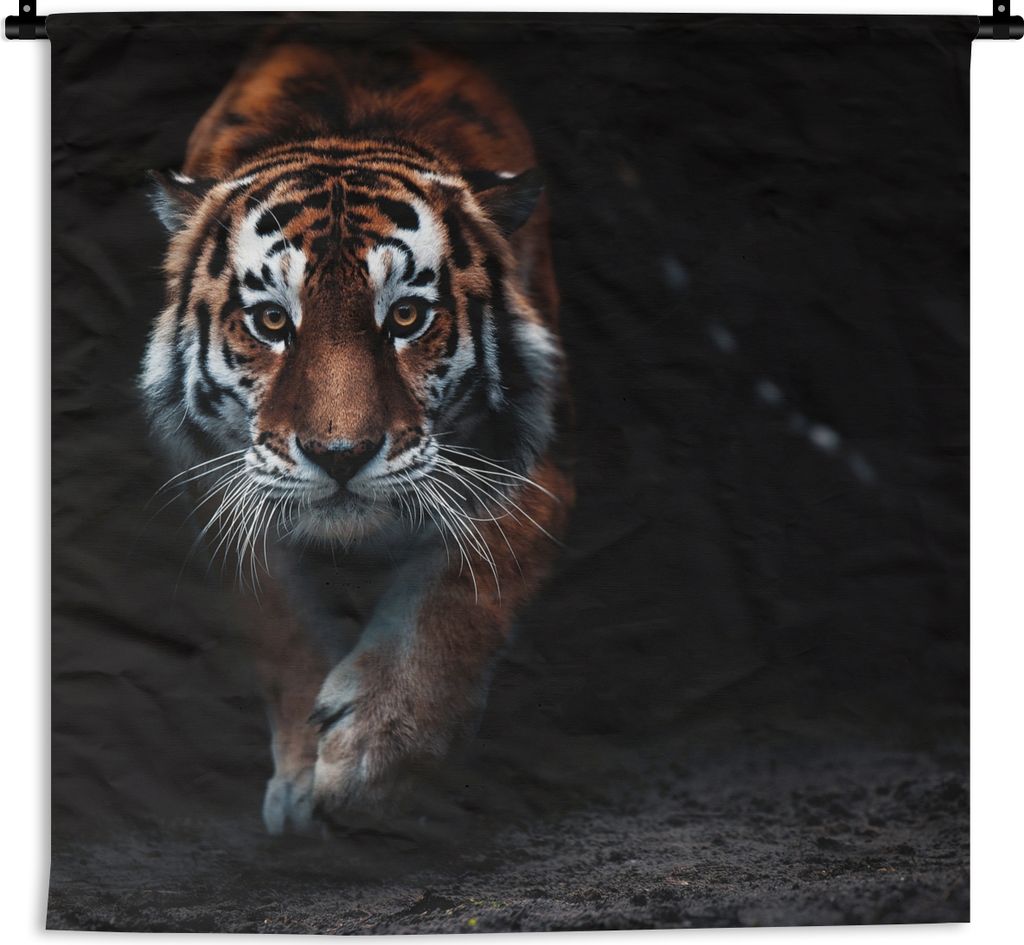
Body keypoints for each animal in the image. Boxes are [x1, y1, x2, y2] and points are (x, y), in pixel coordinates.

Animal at [140, 39, 573, 835]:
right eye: (271, 321)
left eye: (405, 317)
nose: (339, 456)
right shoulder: (217, 484)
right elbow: (279, 618)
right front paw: (302, 781)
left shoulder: (539, 463)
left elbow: (465, 586)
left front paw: (376, 753)